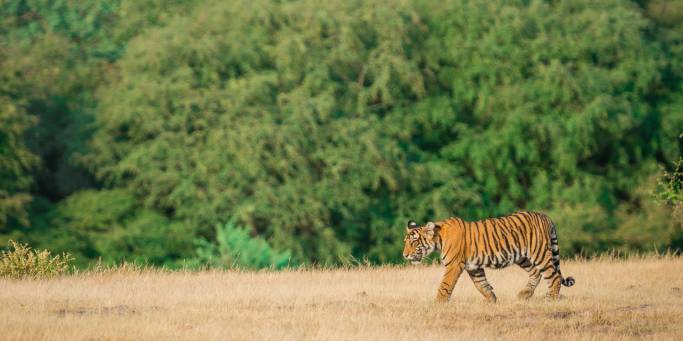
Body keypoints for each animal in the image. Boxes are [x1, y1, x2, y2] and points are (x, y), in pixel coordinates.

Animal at [404, 211, 576, 302]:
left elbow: (445, 285)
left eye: (414, 242)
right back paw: (524, 295)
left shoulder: (453, 265)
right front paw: (492, 300)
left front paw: (438, 304)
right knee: (535, 273)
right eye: (405, 242)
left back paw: (550, 299)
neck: (438, 239)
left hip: (539, 253)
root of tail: (545, 216)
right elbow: (482, 284)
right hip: (523, 258)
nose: (404, 255)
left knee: (553, 276)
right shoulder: (474, 267)